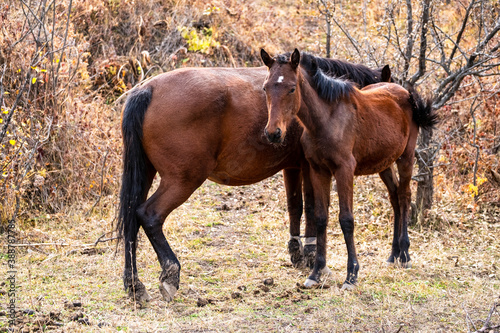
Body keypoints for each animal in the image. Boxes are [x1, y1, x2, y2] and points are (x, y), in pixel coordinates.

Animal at [120, 52, 390, 300]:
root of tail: (148, 89)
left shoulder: (292, 166)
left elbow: (295, 206)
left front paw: (297, 252)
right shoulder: (309, 166)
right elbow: (313, 208)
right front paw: (313, 257)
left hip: (146, 174)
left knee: (131, 217)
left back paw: (134, 285)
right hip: (182, 180)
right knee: (149, 215)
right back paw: (170, 273)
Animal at [262, 48, 438, 290]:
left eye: (292, 88)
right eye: (265, 87)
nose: (273, 133)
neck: (326, 119)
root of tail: (405, 92)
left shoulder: (344, 170)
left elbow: (346, 220)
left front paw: (351, 275)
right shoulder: (318, 170)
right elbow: (320, 218)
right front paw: (316, 273)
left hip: (406, 157)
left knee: (404, 196)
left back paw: (405, 255)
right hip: (384, 163)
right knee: (394, 197)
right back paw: (393, 255)